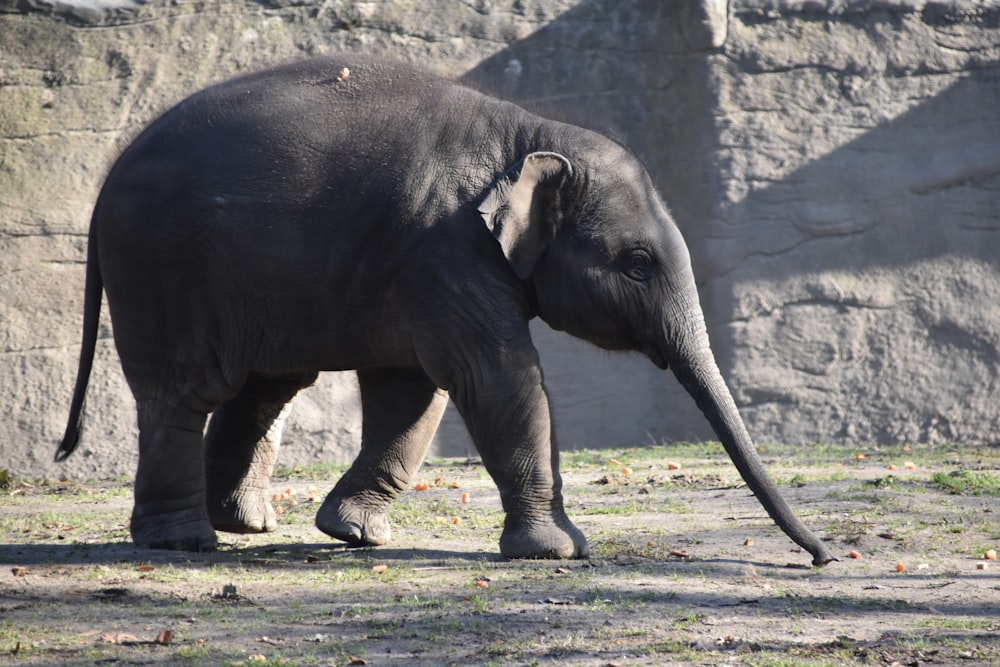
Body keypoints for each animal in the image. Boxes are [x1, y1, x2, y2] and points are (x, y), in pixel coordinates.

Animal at [54, 52, 836, 568]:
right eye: (638, 263)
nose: (824, 558)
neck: (529, 134)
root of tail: (103, 186)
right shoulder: (444, 247)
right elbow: (492, 374)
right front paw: (560, 551)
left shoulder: (417, 262)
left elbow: (415, 387)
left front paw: (355, 534)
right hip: (162, 268)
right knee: (184, 390)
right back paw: (183, 540)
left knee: (267, 384)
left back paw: (247, 525)